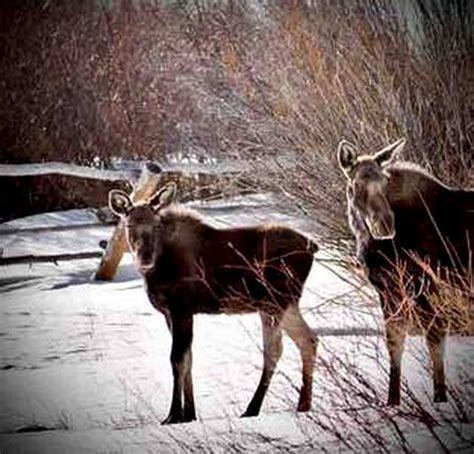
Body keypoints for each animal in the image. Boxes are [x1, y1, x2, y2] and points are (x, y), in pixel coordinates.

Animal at [109, 183, 318, 424]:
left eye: (156, 225)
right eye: (129, 224)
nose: (145, 258)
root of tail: (313, 247)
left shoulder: (181, 308)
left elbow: (177, 359)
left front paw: (174, 414)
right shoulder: (171, 313)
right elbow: (188, 358)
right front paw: (189, 413)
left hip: (273, 303)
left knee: (274, 350)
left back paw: (252, 408)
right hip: (287, 304)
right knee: (308, 340)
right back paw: (304, 404)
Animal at [338, 137, 472, 404]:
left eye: (385, 181)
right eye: (356, 184)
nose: (385, 225)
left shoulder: (428, 288)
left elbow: (435, 345)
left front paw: (440, 400)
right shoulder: (388, 291)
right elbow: (395, 345)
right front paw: (393, 403)